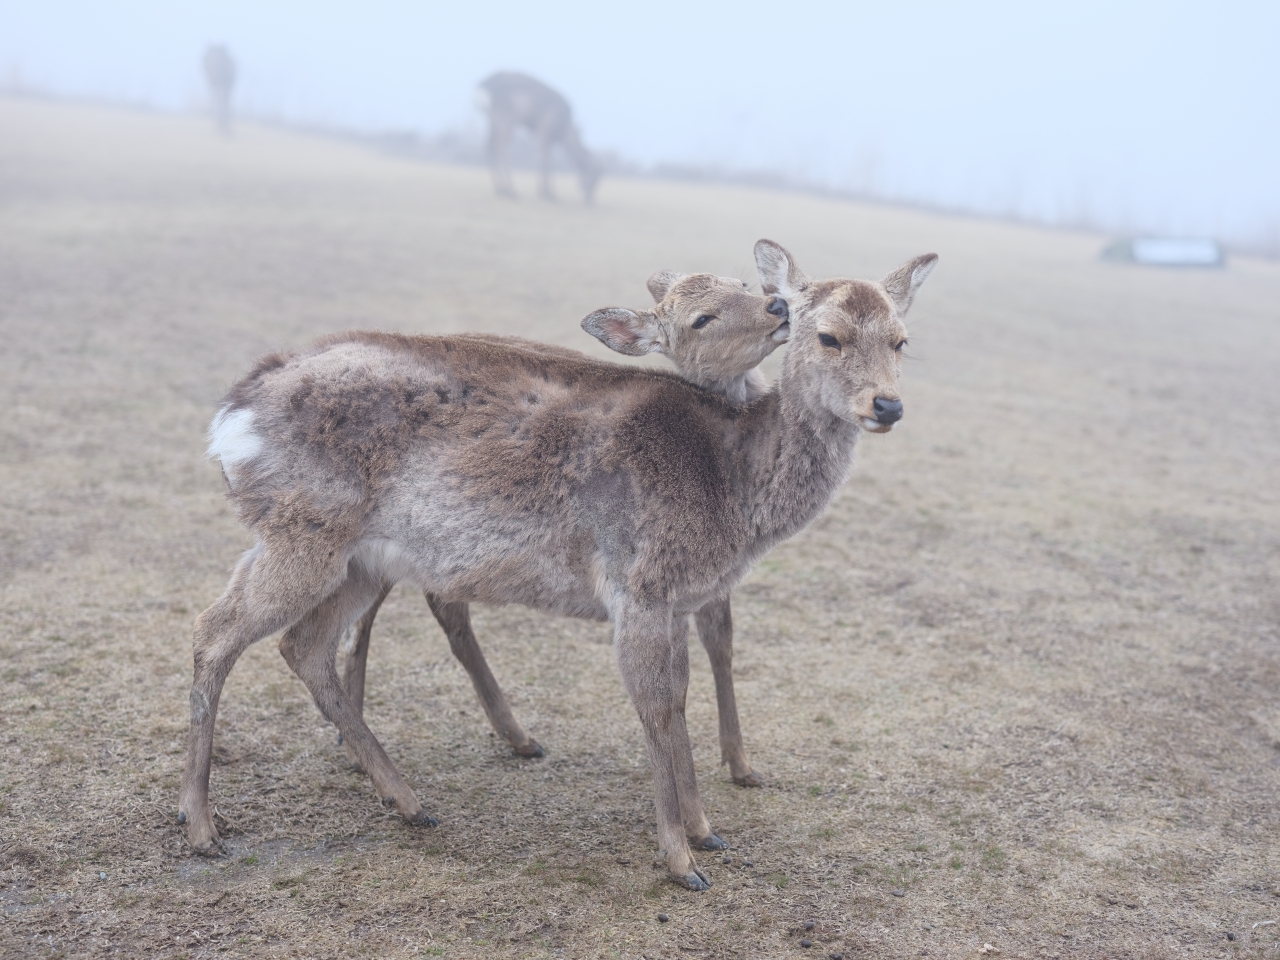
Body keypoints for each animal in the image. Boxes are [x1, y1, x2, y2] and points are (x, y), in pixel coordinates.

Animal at [335, 268, 793, 788]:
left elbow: (722, 641)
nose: (777, 306)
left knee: (438, 604)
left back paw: (514, 737)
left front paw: (742, 764)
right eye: (701, 319)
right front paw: (737, 766)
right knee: (371, 615)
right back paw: (361, 747)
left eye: (741, 282)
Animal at [478, 72, 601, 204]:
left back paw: (499, 189)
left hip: (493, 121)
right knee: (501, 148)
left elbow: (550, 159)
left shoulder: (550, 139)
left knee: (489, 146)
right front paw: (546, 192)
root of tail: (485, 83)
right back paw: (509, 190)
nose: (590, 200)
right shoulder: (544, 130)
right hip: (507, 119)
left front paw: (549, 191)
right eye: (593, 175)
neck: (564, 129)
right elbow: (544, 158)